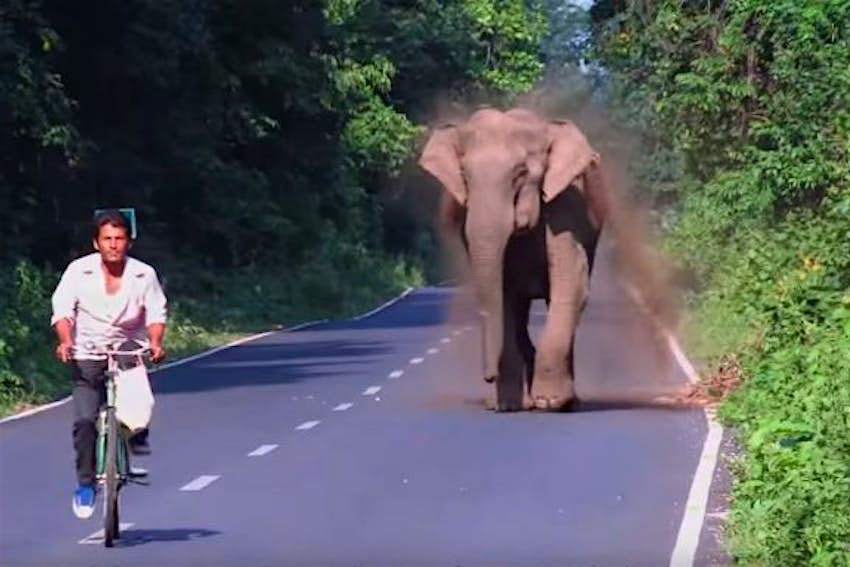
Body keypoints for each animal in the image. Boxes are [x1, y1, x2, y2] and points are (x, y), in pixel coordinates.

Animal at [418, 107, 614, 412]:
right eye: (464, 175)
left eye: (520, 173)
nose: (488, 377)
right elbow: (502, 293)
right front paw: (507, 405)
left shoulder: (568, 203)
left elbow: (571, 284)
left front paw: (549, 402)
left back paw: (564, 400)